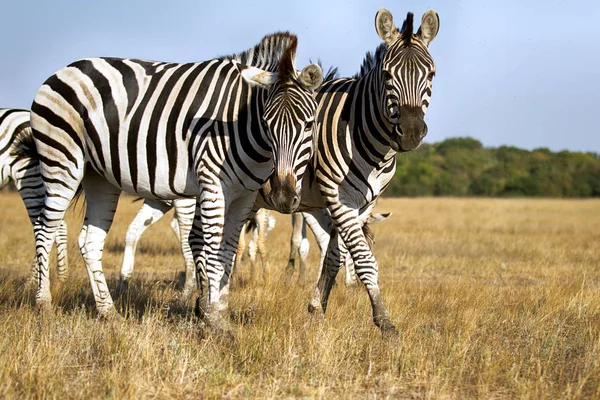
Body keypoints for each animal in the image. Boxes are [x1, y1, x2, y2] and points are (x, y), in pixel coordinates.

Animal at [29, 32, 324, 332]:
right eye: (266, 124)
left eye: (309, 124)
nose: (284, 196)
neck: (240, 125)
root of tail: (65, 69)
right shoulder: (212, 185)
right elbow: (212, 248)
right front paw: (212, 317)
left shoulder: (244, 195)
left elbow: (228, 251)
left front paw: (221, 312)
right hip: (62, 160)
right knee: (45, 229)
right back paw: (44, 305)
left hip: (99, 177)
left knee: (89, 241)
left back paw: (108, 312)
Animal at [255, 7, 438, 336]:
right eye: (387, 75)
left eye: (431, 74)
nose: (411, 133)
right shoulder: (337, 198)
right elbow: (363, 259)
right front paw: (384, 322)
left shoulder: (365, 203)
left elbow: (335, 255)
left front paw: (317, 310)